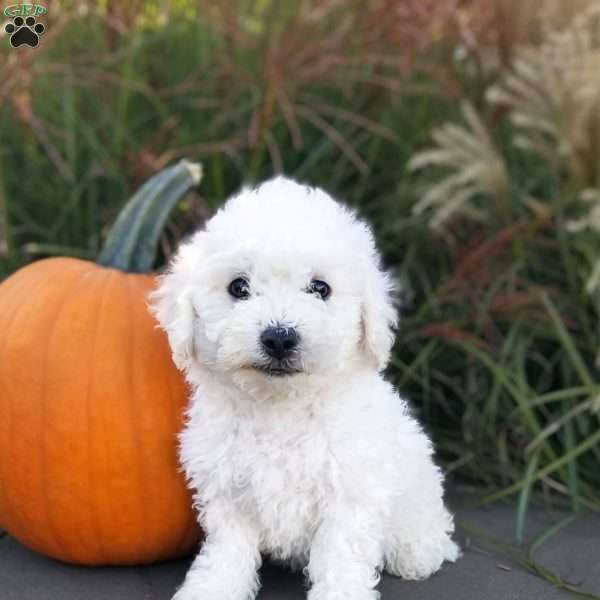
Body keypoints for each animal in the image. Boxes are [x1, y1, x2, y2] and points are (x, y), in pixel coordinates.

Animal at [151, 175, 460, 600]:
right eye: (238, 287)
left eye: (320, 288)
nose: (279, 338)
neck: (281, 408)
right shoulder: (228, 492)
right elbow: (228, 552)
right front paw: (211, 589)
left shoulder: (348, 494)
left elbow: (340, 557)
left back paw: (418, 551)